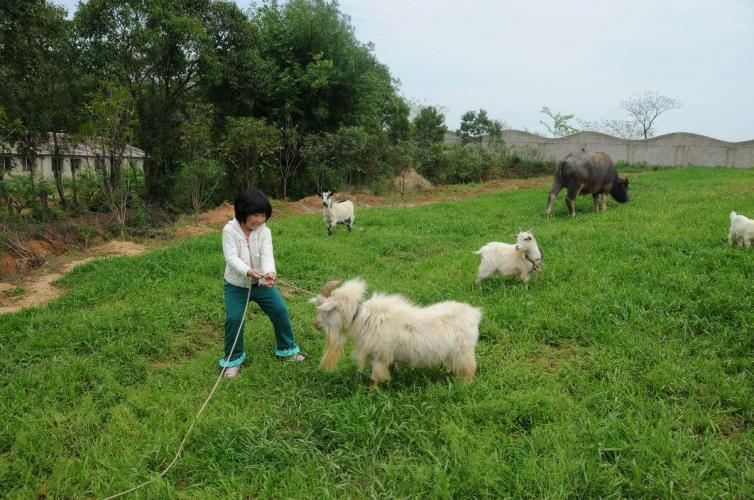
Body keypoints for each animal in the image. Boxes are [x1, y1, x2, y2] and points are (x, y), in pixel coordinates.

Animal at [306, 278, 478, 386]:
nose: (316, 325)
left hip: (463, 352)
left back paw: (464, 385)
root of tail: (474, 314)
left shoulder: (379, 356)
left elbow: (375, 379)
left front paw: (372, 393)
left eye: (327, 310)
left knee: (469, 370)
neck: (364, 321)